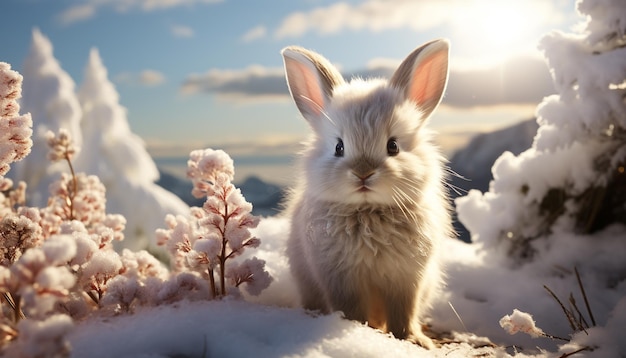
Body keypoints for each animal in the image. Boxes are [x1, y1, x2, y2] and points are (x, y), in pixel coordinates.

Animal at [280, 39, 450, 350]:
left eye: (393, 146)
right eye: (339, 147)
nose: (363, 173)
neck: (369, 211)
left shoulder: (407, 279)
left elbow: (404, 312)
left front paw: (413, 340)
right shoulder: (341, 279)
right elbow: (352, 310)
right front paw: (357, 331)